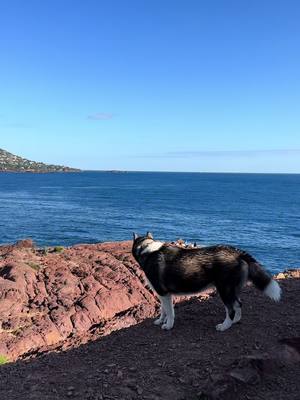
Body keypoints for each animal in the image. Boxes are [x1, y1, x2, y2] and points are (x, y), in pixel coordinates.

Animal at [131, 231, 282, 332]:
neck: (147, 249)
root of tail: (238, 252)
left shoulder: (164, 293)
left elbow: (170, 312)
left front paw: (168, 325)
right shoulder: (162, 294)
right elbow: (163, 310)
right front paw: (160, 321)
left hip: (224, 289)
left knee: (231, 309)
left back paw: (225, 326)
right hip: (233, 289)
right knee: (239, 304)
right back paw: (235, 321)